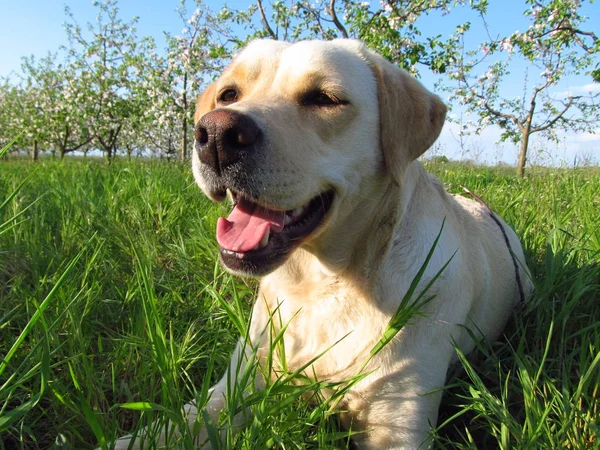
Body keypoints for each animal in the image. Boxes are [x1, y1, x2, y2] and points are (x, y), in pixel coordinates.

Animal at [111, 39, 528, 450]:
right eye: (228, 94)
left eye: (324, 99)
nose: (214, 134)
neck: (320, 286)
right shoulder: (234, 384)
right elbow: (170, 427)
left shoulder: (397, 423)